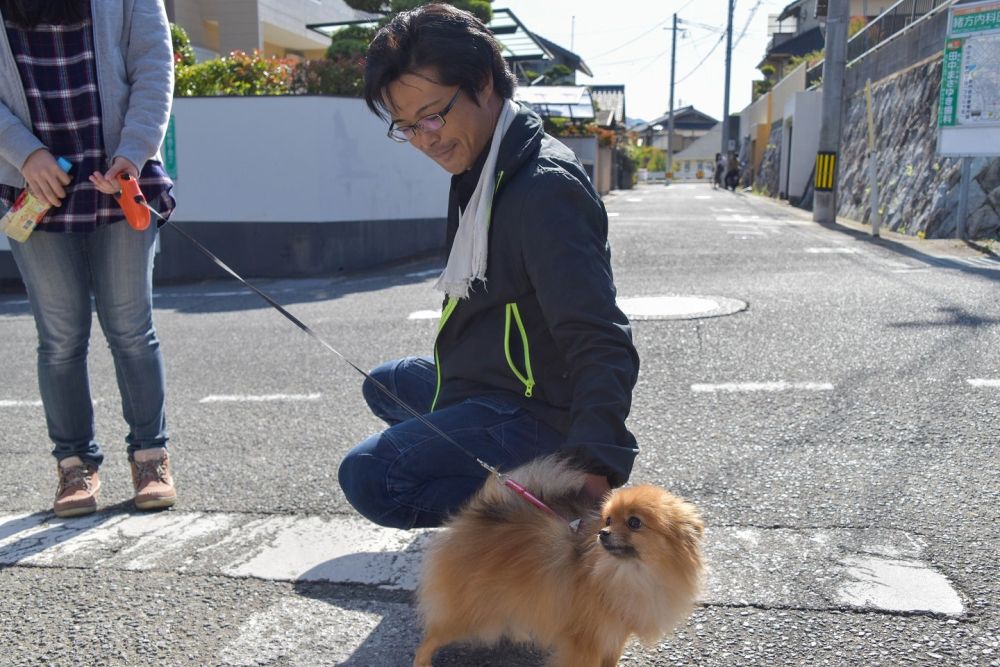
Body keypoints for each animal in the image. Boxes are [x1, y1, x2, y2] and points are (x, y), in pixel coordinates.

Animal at [412, 454, 704, 667]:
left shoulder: (614, 633)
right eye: (608, 520)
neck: (631, 573)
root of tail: (477, 514)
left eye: (634, 523)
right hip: (468, 610)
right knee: (430, 638)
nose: (603, 533)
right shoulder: (586, 640)